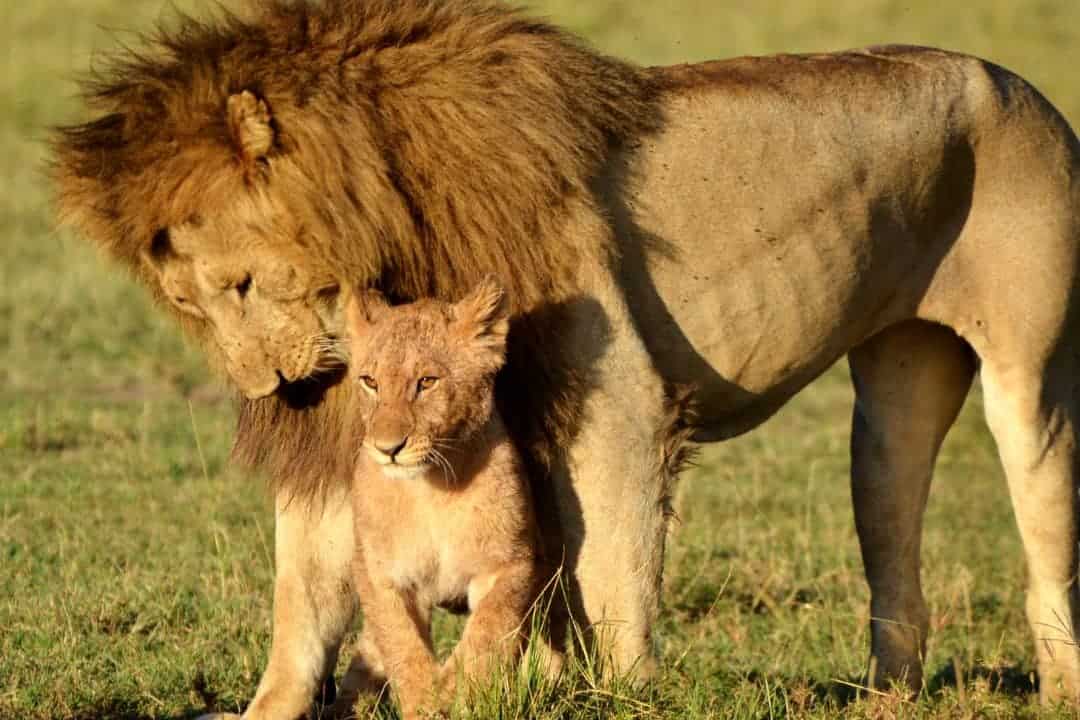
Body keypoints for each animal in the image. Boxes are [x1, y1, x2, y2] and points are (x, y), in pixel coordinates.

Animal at [338, 279, 554, 719]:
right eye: (370, 381)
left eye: (426, 382)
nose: (387, 448)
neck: (429, 492)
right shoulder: (380, 573)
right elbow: (402, 644)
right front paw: (425, 701)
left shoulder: (515, 563)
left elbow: (487, 633)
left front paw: (456, 692)